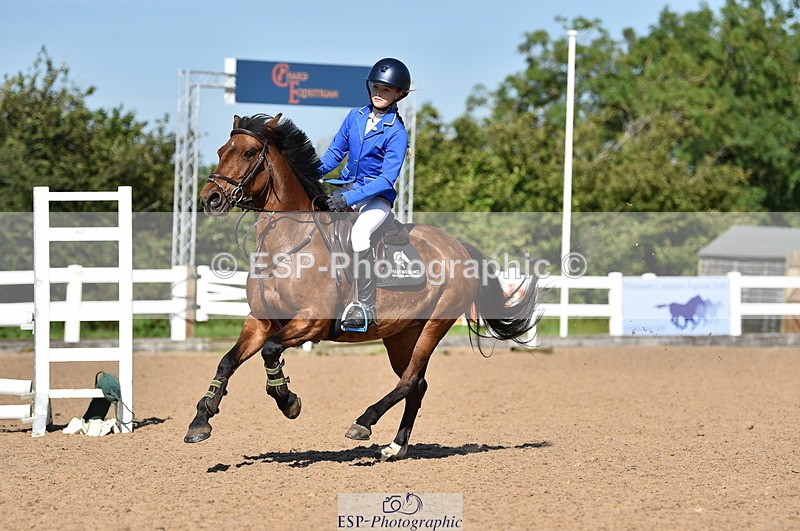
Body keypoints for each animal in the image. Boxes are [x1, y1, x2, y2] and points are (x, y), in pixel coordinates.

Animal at [184, 113, 538, 461]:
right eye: (221, 151)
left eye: (247, 153)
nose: (210, 198)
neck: (289, 246)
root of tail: (458, 247)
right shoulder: (260, 321)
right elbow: (228, 360)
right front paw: (201, 419)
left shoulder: (311, 322)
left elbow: (271, 350)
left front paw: (288, 401)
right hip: (401, 335)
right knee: (417, 384)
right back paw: (396, 446)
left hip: (434, 326)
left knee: (410, 380)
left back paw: (363, 422)